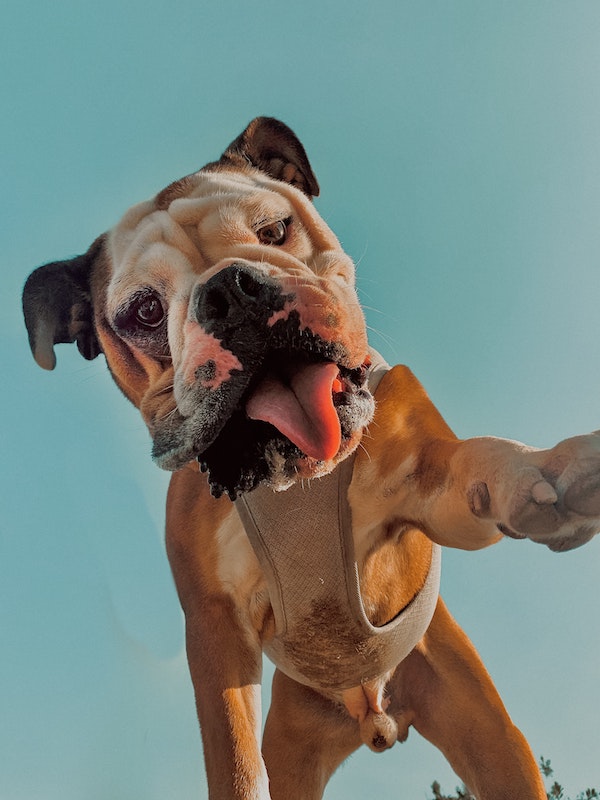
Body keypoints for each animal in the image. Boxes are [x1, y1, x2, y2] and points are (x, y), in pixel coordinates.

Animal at [21, 115, 600, 796]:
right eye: (144, 311)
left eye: (274, 230)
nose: (231, 289)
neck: (292, 478)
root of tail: (374, 719)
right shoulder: (216, 631)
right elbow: (235, 759)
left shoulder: (426, 485)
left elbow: (471, 461)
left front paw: (543, 471)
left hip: (492, 739)